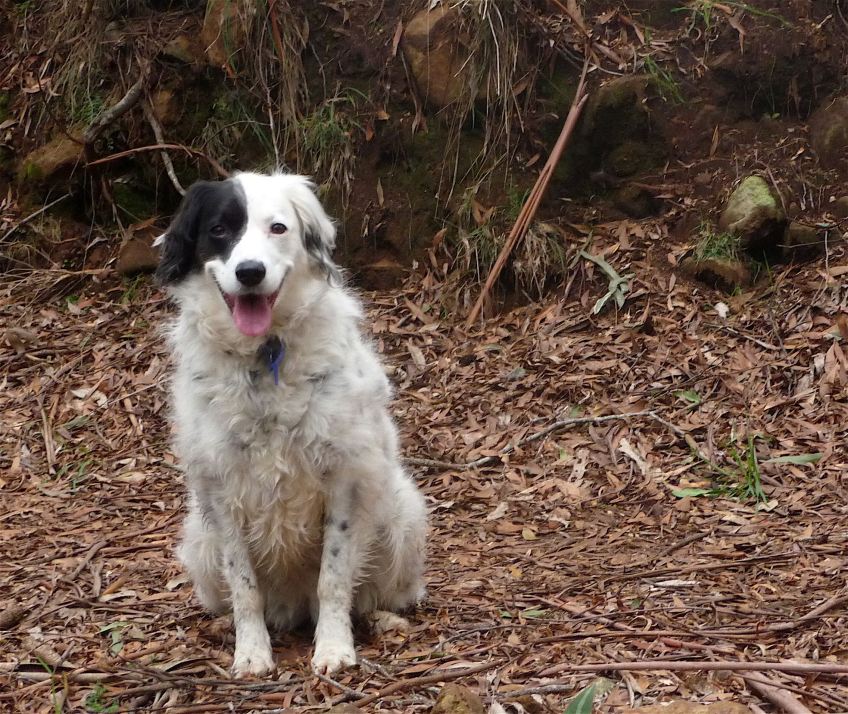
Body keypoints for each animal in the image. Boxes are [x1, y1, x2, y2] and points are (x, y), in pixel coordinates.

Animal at [155, 172, 427, 677]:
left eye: (278, 227)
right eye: (220, 229)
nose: (250, 272)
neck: (265, 355)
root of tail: (295, 607)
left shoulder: (344, 480)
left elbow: (334, 579)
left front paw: (334, 648)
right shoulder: (221, 492)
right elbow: (244, 587)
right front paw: (251, 652)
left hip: (402, 513)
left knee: (380, 594)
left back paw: (382, 621)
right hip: (199, 538)